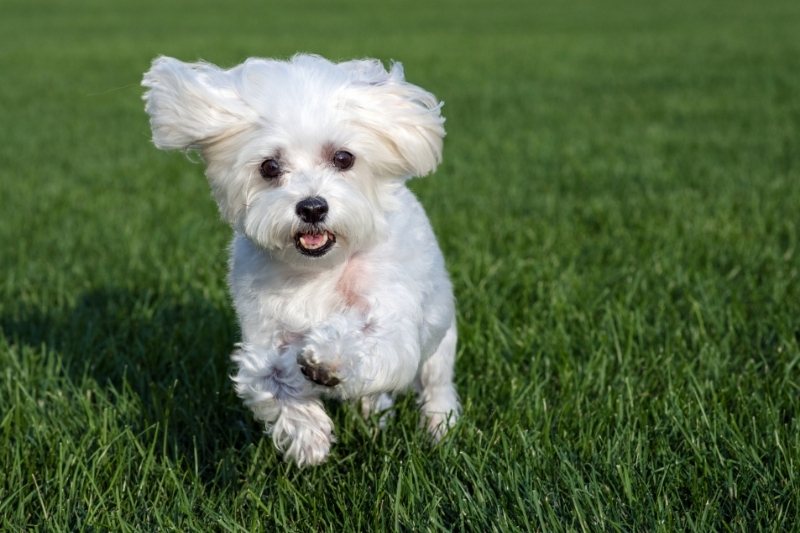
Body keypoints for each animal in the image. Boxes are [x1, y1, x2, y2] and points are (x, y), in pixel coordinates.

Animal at [141, 52, 460, 464]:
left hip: (441, 340)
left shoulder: (391, 317)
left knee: (436, 387)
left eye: (343, 157)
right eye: (270, 167)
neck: (320, 270)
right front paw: (307, 436)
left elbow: (370, 339)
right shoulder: (263, 331)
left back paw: (438, 430)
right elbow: (270, 377)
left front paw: (327, 362)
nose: (312, 207)